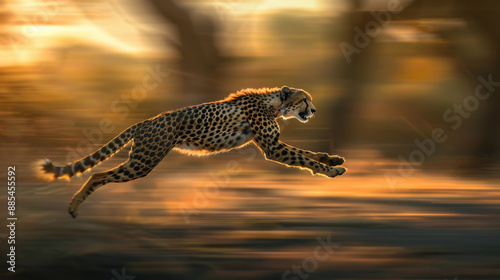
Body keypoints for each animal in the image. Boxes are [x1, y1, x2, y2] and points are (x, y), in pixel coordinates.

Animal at [37, 86, 346, 218]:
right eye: (304, 100)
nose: (314, 110)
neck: (274, 104)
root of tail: (145, 121)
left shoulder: (272, 143)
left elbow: (305, 153)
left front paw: (331, 158)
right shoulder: (271, 147)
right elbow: (302, 157)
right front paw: (332, 170)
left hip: (141, 159)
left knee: (99, 174)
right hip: (143, 162)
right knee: (98, 175)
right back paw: (74, 206)